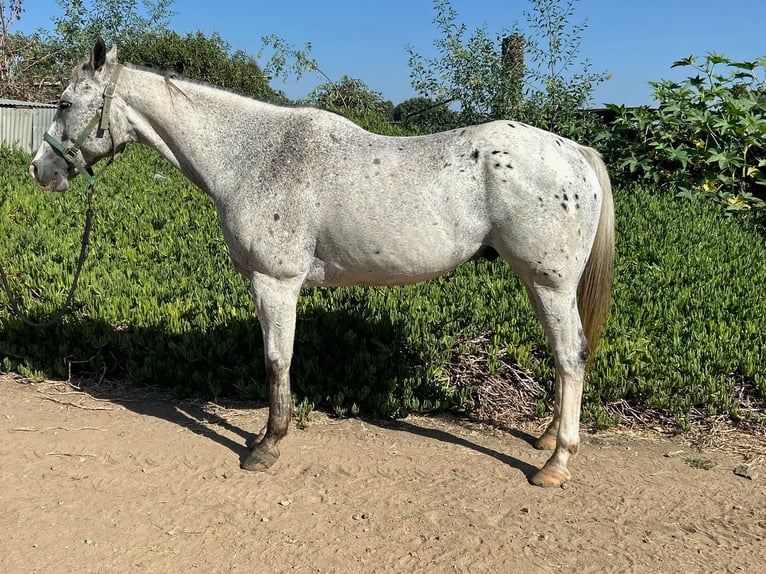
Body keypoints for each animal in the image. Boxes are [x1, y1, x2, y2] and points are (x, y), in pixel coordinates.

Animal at [29, 38, 614, 487]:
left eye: (64, 102)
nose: (39, 170)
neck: (253, 156)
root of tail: (574, 152)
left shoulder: (276, 283)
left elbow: (276, 360)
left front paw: (267, 444)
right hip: (540, 284)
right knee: (564, 356)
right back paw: (546, 437)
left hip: (550, 283)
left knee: (571, 355)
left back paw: (555, 462)